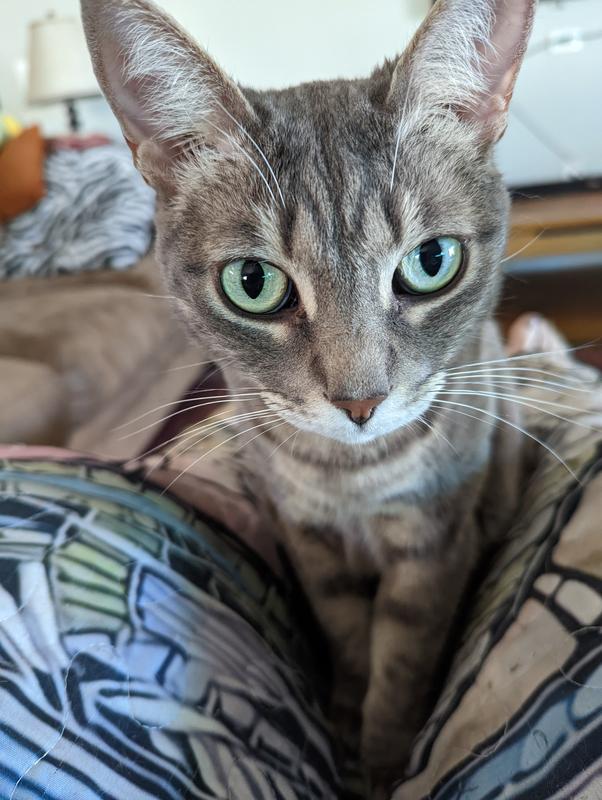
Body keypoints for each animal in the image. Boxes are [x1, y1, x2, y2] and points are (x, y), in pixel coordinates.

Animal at [81, 0, 536, 793]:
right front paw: (348, 726)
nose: (360, 402)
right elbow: (348, 635)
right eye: (253, 283)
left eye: (431, 262)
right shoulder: (308, 539)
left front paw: (383, 762)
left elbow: (403, 658)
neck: (349, 478)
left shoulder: (437, 540)